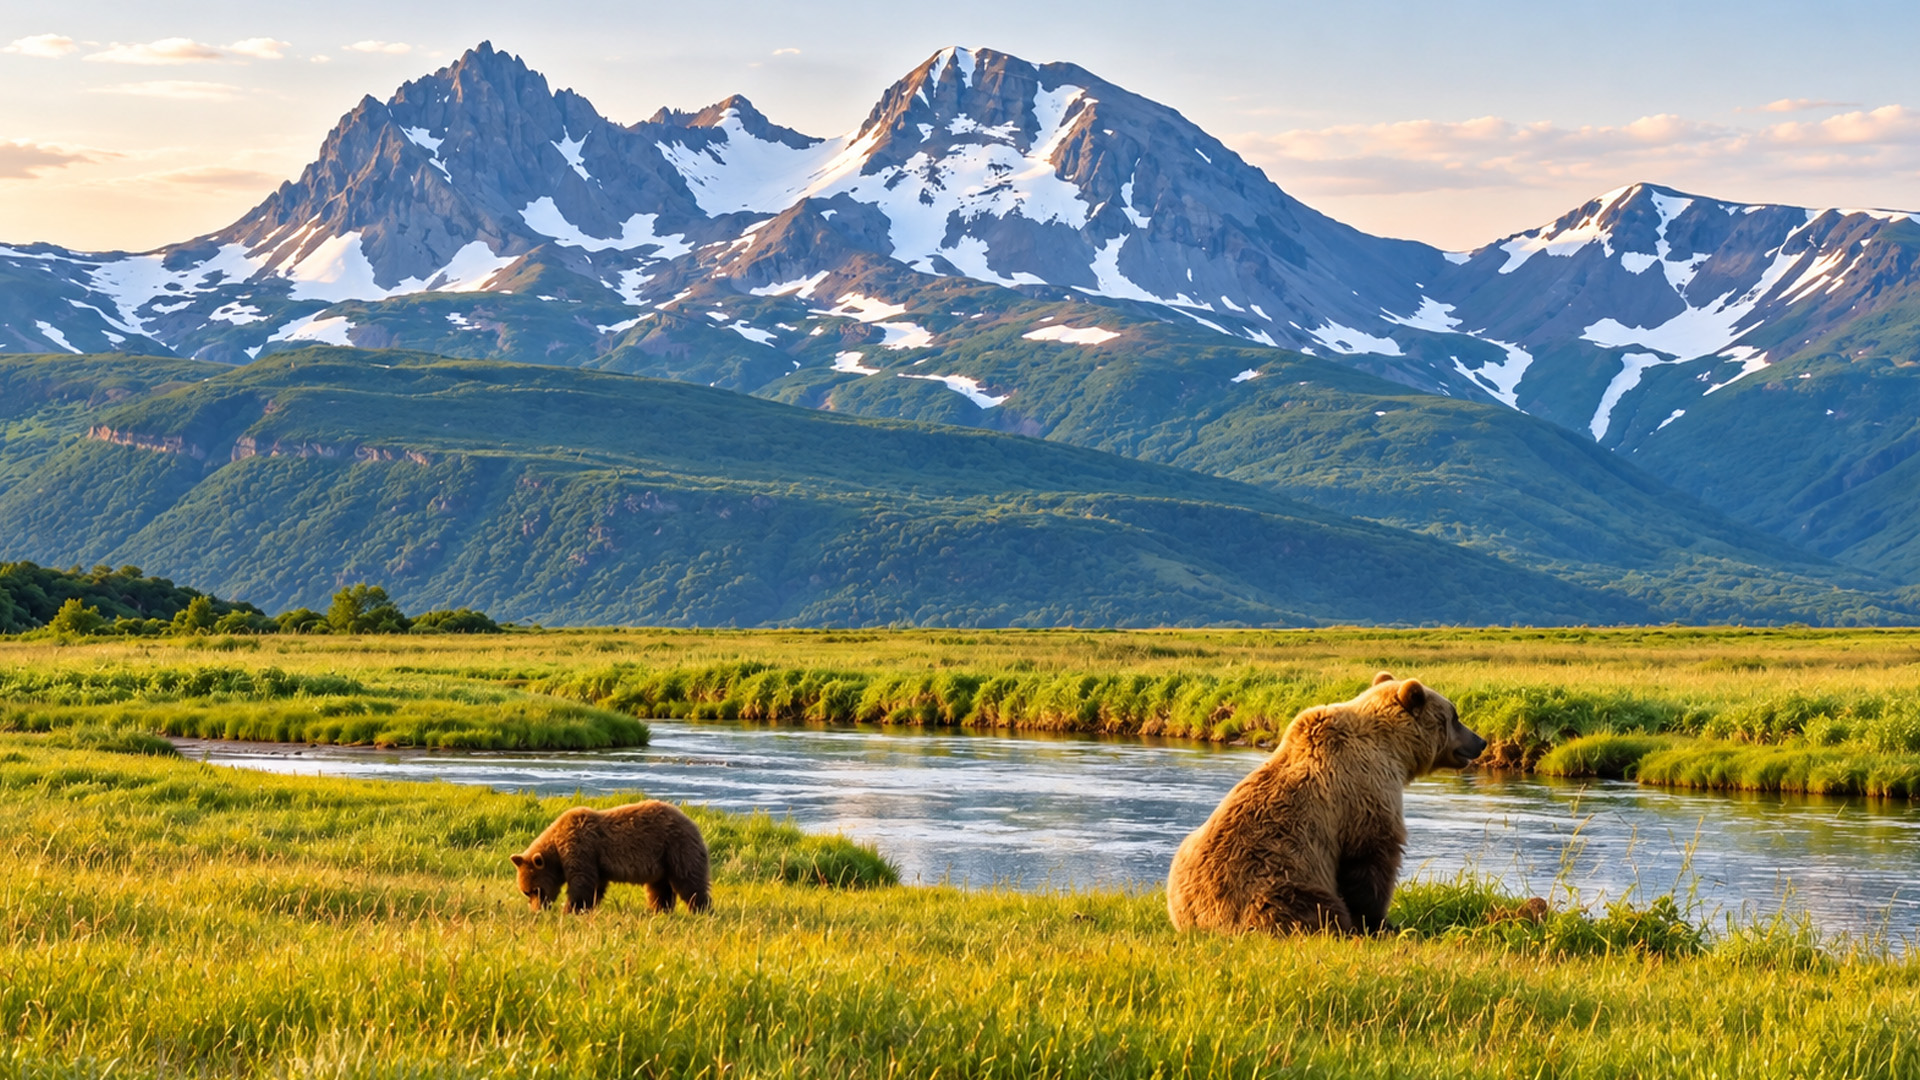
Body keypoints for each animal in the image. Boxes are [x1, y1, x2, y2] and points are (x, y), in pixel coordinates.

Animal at [511, 800, 712, 914]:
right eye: (526, 892)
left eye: (536, 890)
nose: (537, 910)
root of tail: (693, 823)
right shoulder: (595, 861)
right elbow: (596, 886)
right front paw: (586, 908)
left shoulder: (580, 847)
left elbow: (582, 882)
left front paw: (570, 909)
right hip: (662, 860)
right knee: (659, 888)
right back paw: (659, 910)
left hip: (676, 847)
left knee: (689, 881)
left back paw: (702, 909)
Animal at [1165, 672, 1486, 935]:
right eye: (1454, 716)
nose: (1480, 741)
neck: (1393, 751)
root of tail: (1197, 921)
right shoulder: (1363, 792)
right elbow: (1372, 860)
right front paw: (1381, 923)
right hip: (1277, 882)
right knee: (1307, 906)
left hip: (1184, 856)